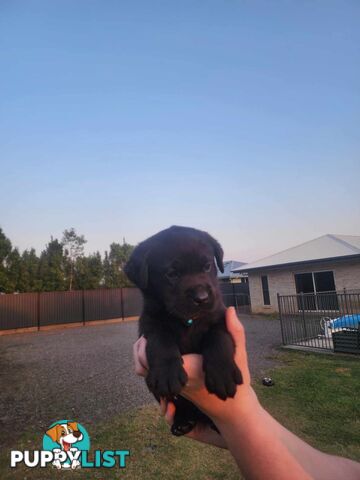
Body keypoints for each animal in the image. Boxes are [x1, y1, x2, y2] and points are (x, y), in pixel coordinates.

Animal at [125, 225, 243, 436]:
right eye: (172, 274)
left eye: (207, 266)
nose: (202, 297)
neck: (188, 321)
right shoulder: (149, 324)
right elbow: (160, 340)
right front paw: (166, 373)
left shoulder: (220, 316)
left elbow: (219, 338)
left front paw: (222, 373)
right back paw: (183, 421)